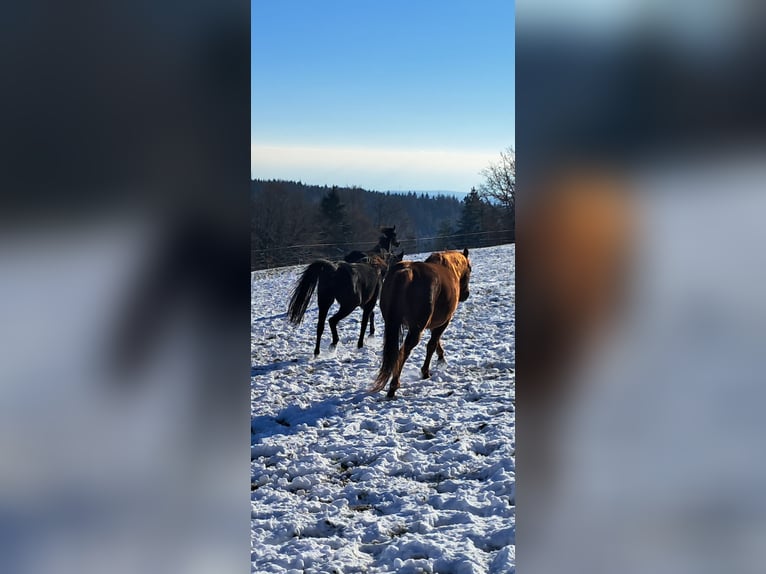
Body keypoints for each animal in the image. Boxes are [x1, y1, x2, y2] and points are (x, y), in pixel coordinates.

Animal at [371, 248, 472, 398]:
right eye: (469, 270)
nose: (465, 294)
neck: (449, 268)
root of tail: (406, 272)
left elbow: (436, 342)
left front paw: (440, 357)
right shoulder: (444, 322)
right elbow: (432, 344)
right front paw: (426, 371)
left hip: (391, 324)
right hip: (416, 330)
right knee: (403, 352)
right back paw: (394, 385)